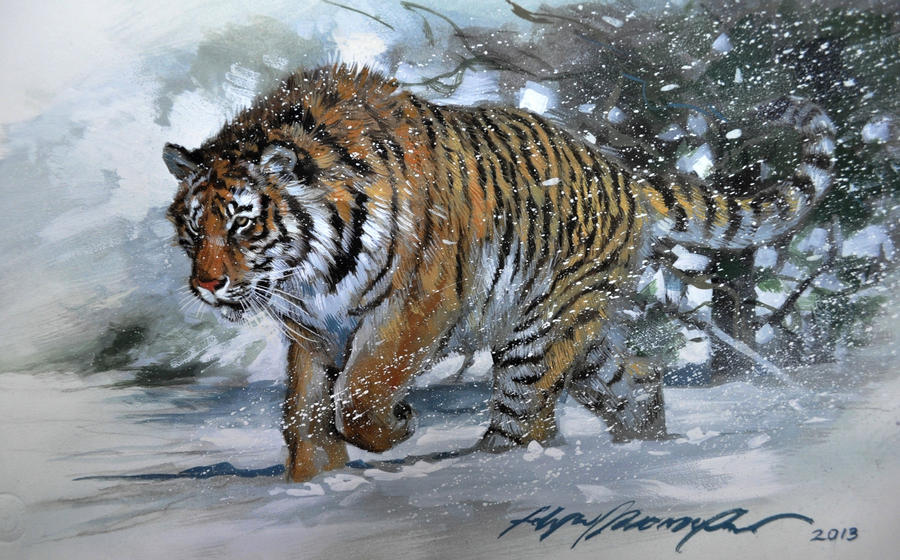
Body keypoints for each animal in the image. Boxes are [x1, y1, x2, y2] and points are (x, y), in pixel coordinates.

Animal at [164, 64, 835, 482]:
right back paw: (646, 448)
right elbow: (302, 414)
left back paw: (483, 470)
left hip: (535, 328)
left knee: (528, 417)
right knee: (637, 377)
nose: (206, 284)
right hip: (580, 330)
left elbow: (359, 394)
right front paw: (310, 484)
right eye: (195, 228)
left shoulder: (414, 306)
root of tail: (627, 176)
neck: (310, 275)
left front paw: (398, 427)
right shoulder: (310, 330)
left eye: (243, 224)